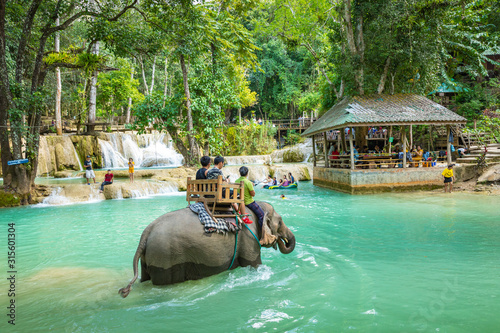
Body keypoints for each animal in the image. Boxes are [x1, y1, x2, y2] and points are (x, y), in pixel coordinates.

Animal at [119, 200, 294, 296]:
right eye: (280, 221)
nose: (283, 240)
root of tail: (146, 233)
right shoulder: (249, 238)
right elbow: (254, 264)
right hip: (166, 257)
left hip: (150, 257)